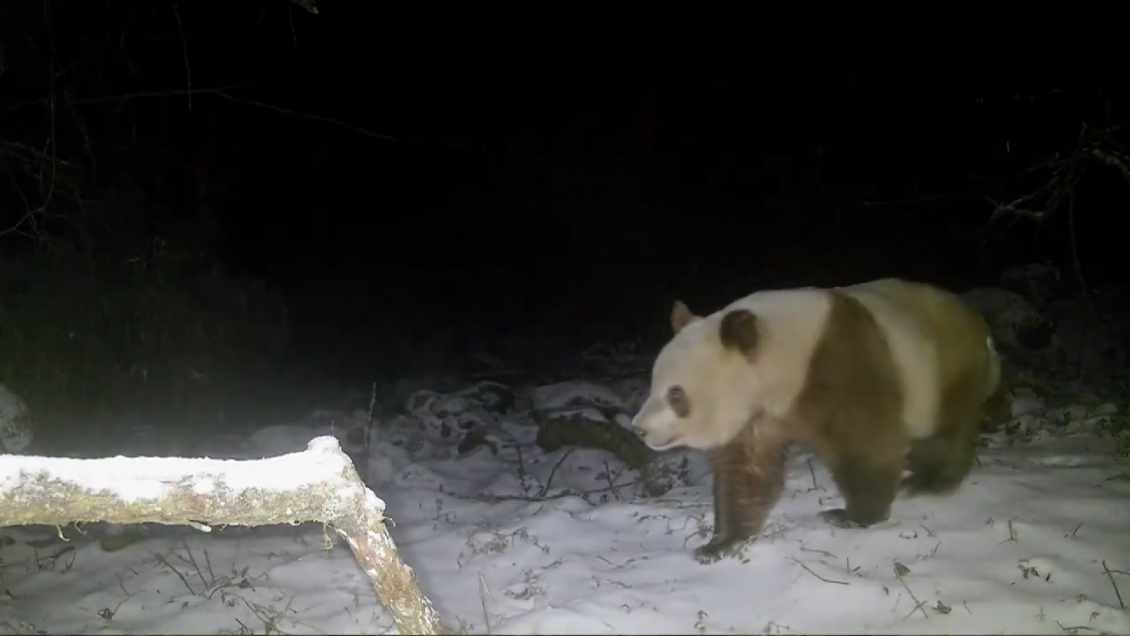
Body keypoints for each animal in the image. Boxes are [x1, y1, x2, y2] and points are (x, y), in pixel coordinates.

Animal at [630, 278, 1009, 564]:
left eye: (676, 394)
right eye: (654, 383)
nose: (639, 428)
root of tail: (983, 329)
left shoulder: (841, 366)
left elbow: (867, 443)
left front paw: (852, 516)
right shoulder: (756, 414)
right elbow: (747, 474)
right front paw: (720, 543)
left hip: (944, 369)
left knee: (945, 432)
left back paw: (929, 482)